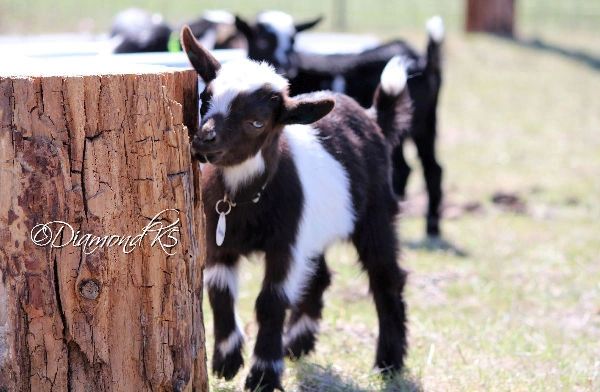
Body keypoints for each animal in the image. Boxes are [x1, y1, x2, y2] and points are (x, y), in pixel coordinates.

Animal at [180, 24, 410, 392]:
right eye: (205, 100)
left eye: (257, 122)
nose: (204, 141)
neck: (245, 198)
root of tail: (371, 117)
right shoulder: (218, 239)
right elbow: (219, 292)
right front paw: (227, 360)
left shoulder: (285, 243)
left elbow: (271, 301)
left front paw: (263, 374)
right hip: (314, 231)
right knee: (319, 276)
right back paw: (297, 344)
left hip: (376, 213)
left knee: (385, 276)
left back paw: (388, 363)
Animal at [236, 13, 446, 236]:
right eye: (263, 41)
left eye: (293, 40)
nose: (286, 65)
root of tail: (423, 60)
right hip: (427, 122)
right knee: (428, 168)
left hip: (413, 123)